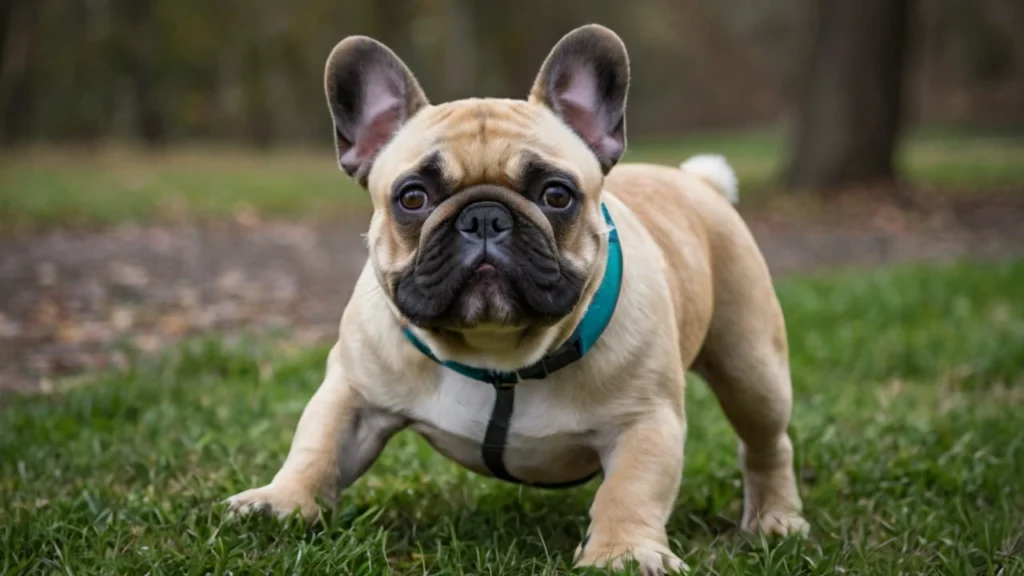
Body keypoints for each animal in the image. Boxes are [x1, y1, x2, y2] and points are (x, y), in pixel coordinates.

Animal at [226, 23, 806, 573]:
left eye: (556, 194)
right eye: (412, 197)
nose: (485, 216)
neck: (496, 352)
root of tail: (697, 182)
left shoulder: (645, 421)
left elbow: (631, 489)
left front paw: (621, 552)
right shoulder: (353, 393)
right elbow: (318, 445)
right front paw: (281, 502)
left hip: (751, 364)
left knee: (766, 441)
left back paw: (775, 519)